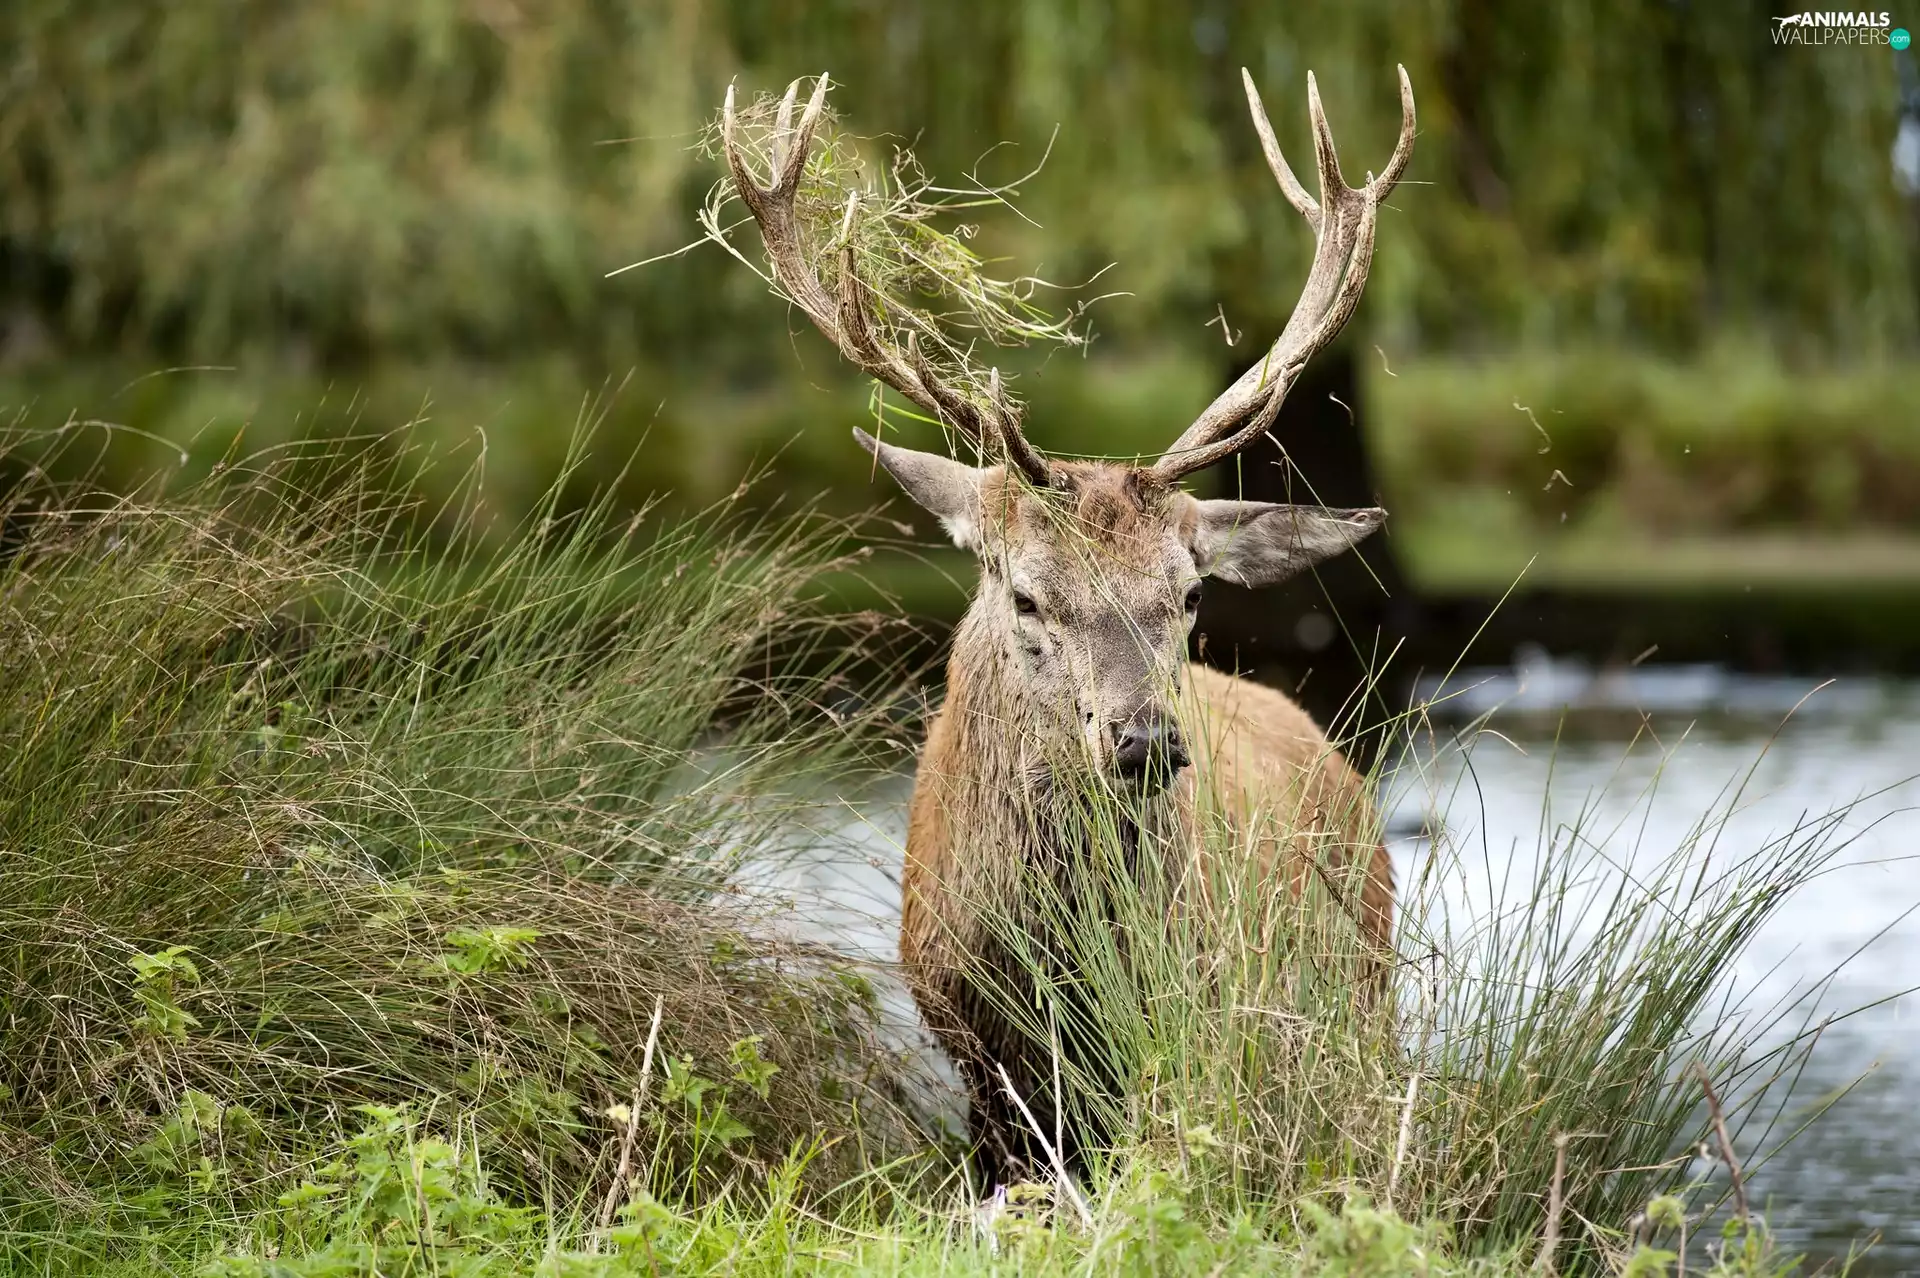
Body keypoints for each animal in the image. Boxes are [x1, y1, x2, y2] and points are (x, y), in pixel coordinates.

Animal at [717, 65, 1414, 1192]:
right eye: (1027, 595)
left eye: (1190, 593)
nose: (1143, 741)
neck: (1062, 976)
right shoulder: (974, 1055)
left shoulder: (1199, 1015)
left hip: (1364, 984)